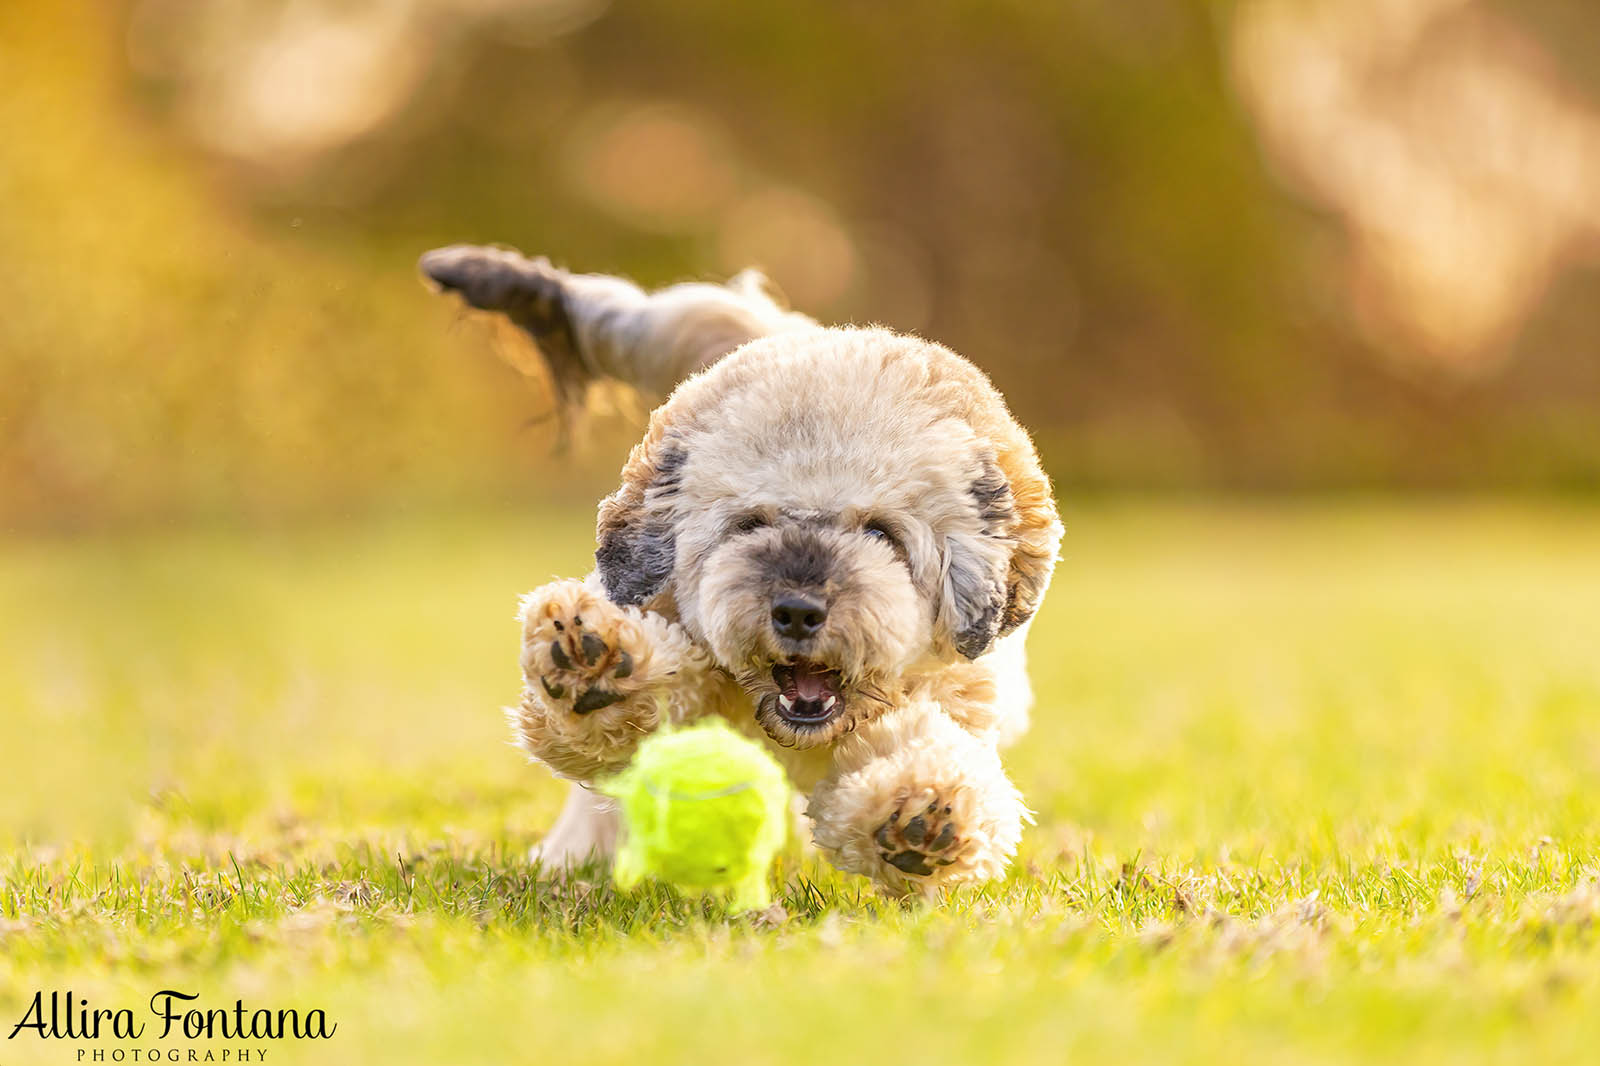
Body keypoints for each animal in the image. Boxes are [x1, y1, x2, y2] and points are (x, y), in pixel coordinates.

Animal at [422, 244, 1062, 889]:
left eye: (882, 533)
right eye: (750, 523)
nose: (798, 612)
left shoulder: (949, 698)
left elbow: (919, 750)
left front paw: (922, 812)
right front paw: (593, 664)